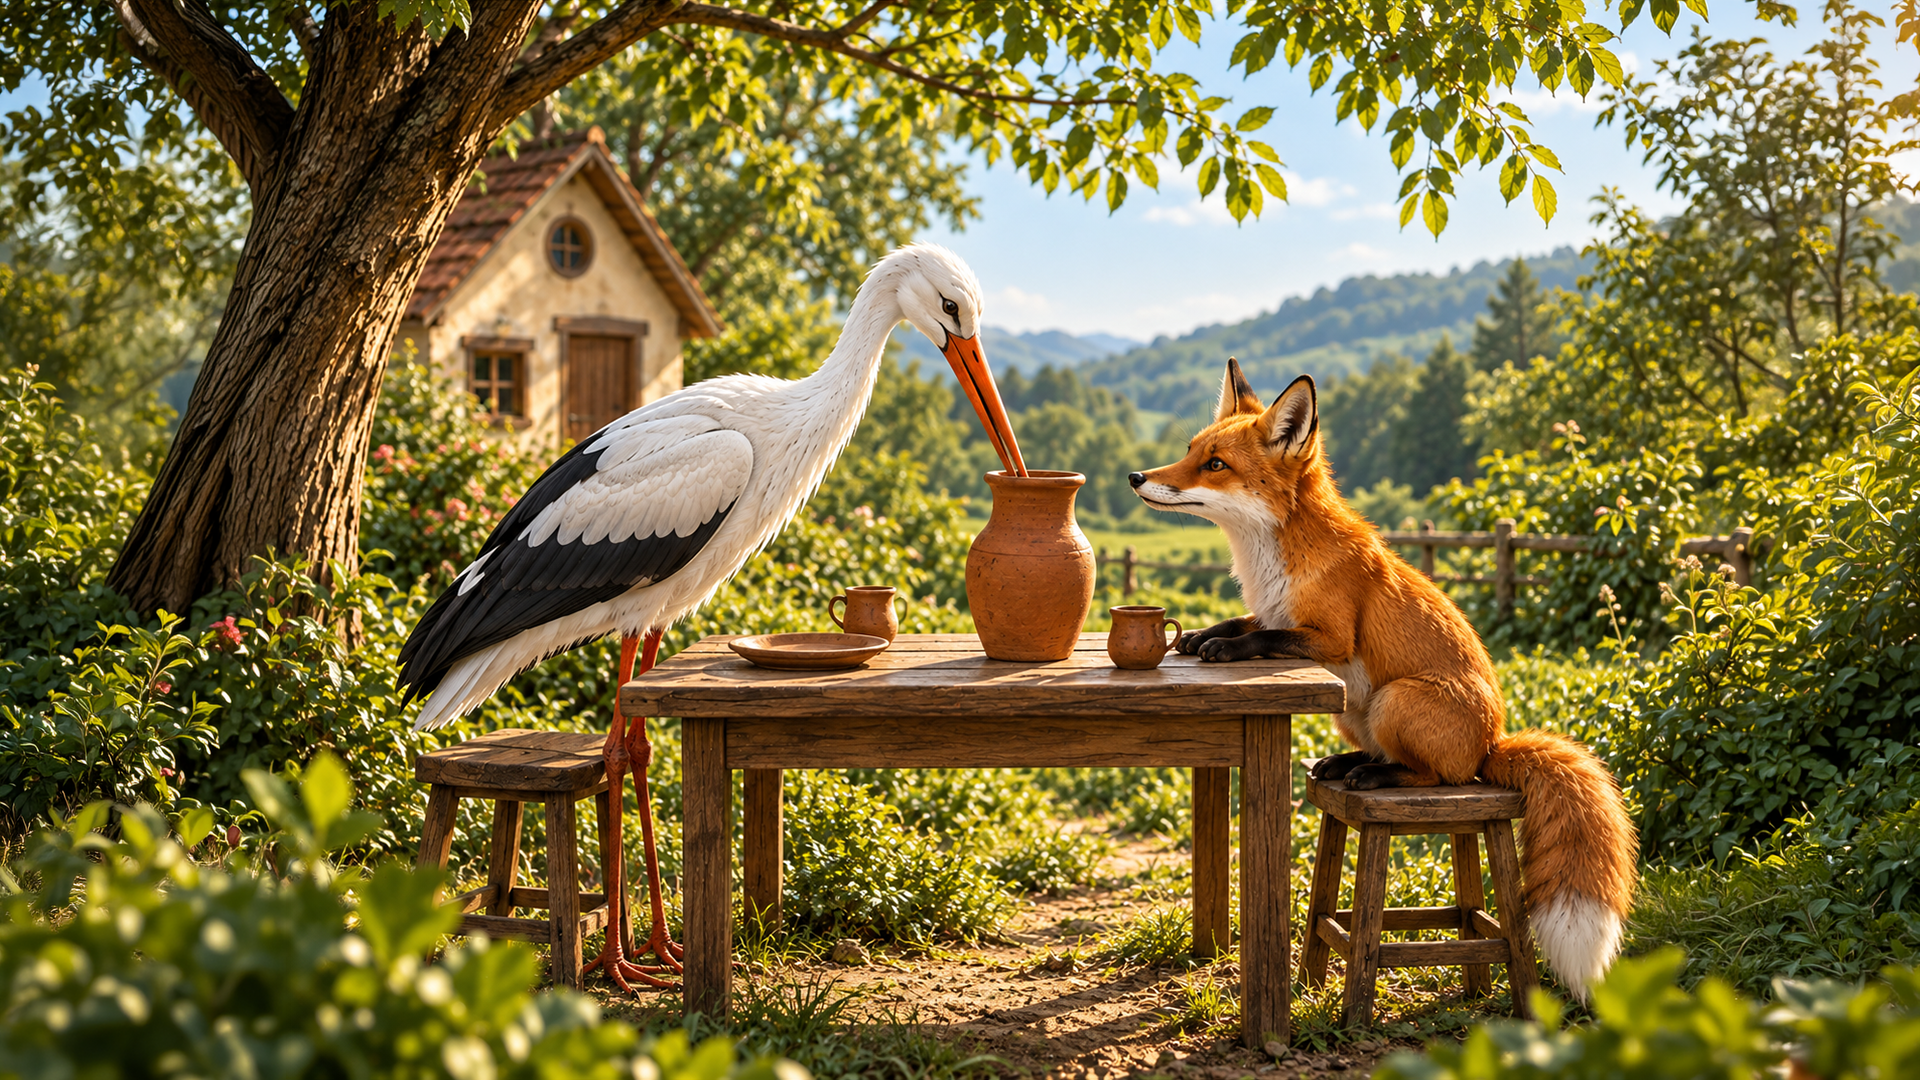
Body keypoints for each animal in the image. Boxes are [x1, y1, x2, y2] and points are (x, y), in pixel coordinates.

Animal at [1128, 358, 1637, 1000]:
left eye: (1216, 464)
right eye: (1190, 451)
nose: (1135, 476)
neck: (1272, 561)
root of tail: (1493, 743)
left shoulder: (1330, 639)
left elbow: (1264, 639)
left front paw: (1224, 647)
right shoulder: (1275, 613)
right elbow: (1247, 622)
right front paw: (1197, 636)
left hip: (1395, 700)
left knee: (1439, 776)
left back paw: (1378, 777)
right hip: (1354, 709)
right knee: (1385, 754)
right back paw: (1345, 765)